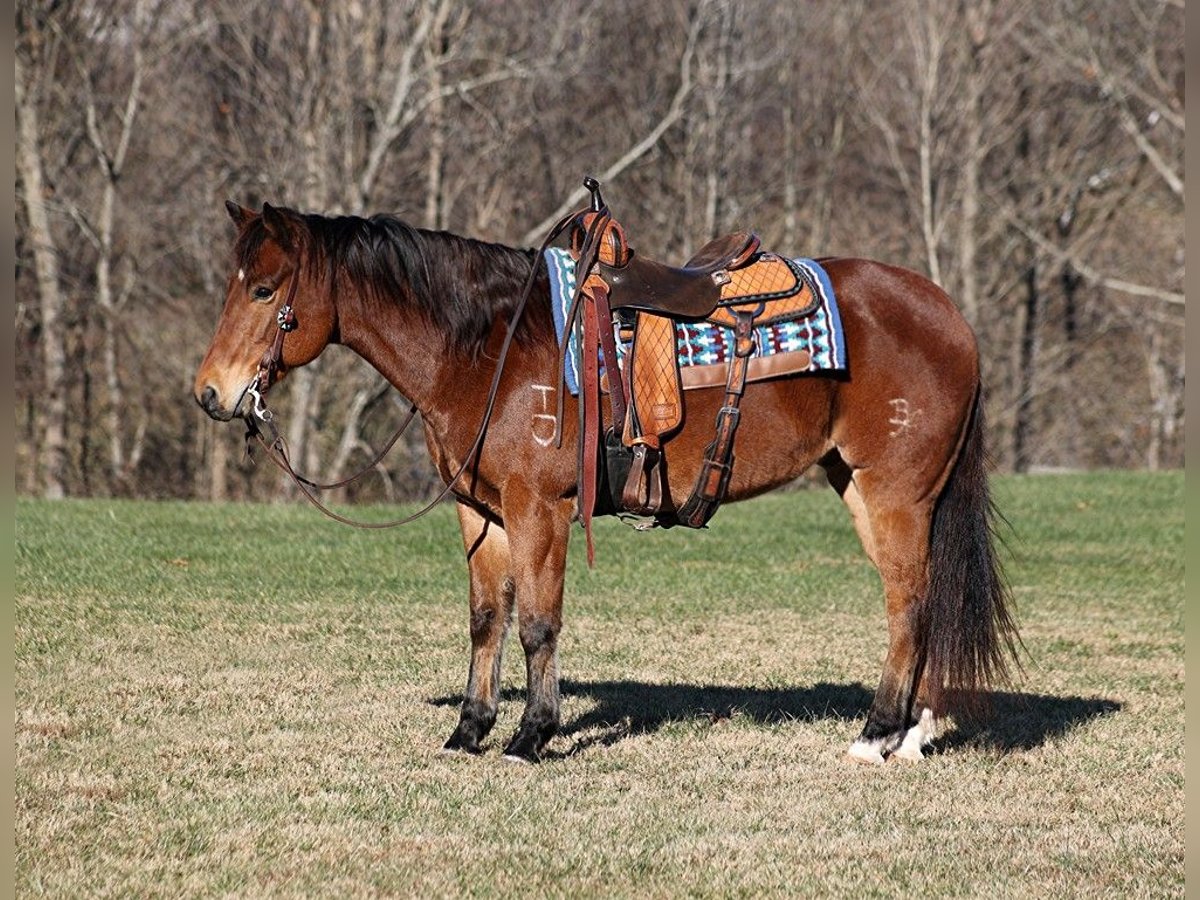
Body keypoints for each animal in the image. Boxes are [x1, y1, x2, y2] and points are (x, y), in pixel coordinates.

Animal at [192, 200, 1017, 763]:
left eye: (264, 290)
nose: (210, 393)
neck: (487, 348)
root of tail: (948, 313)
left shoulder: (540, 509)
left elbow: (538, 623)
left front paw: (532, 734)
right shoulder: (480, 512)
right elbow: (487, 620)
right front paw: (470, 728)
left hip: (896, 494)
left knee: (910, 603)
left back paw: (877, 735)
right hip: (864, 490)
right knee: (921, 600)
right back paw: (913, 733)